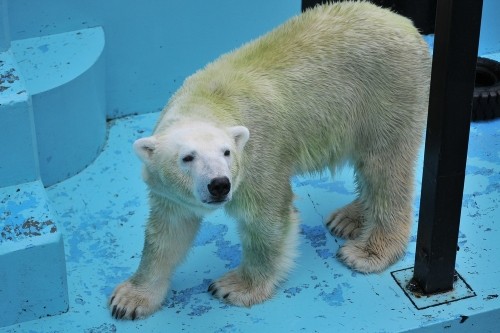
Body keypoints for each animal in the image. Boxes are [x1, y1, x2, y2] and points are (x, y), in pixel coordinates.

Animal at [108, 1, 430, 320]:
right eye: (187, 157)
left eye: (226, 152)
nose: (219, 185)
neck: (209, 101)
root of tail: (403, 23)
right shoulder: (169, 190)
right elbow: (166, 232)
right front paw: (129, 299)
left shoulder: (257, 158)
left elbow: (265, 221)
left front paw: (234, 287)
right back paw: (347, 218)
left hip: (387, 93)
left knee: (384, 168)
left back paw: (367, 251)